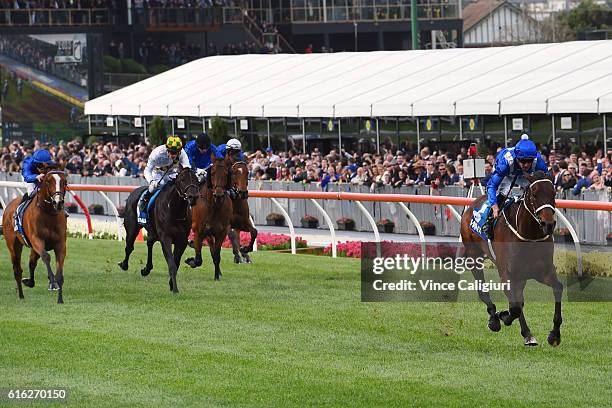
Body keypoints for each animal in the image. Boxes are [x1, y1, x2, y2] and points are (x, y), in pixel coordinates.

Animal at [1, 168, 68, 302]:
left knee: (32, 263)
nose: (58, 202)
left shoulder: (60, 245)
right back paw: (21, 295)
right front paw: (52, 283)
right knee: (17, 269)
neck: (49, 213)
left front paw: (60, 300)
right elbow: (46, 257)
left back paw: (29, 282)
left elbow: (59, 273)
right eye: (48, 181)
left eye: (65, 182)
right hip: (13, 245)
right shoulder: (37, 240)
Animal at [121, 166, 201, 294]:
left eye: (196, 180)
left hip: (153, 232)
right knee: (129, 247)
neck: (175, 210)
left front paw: (171, 284)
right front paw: (175, 289)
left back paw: (146, 269)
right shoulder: (165, 238)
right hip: (132, 228)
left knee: (149, 242)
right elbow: (172, 264)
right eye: (182, 180)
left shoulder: (182, 240)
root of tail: (133, 192)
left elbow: (176, 262)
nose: (193, 197)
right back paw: (124, 265)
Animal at [460, 171, 564, 346]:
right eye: (534, 194)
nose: (548, 224)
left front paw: (554, 335)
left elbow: (558, 288)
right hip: (474, 256)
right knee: (484, 291)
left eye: (553, 193)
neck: (529, 235)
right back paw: (495, 319)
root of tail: (471, 206)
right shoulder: (507, 274)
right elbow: (514, 307)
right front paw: (502, 316)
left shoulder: (544, 271)